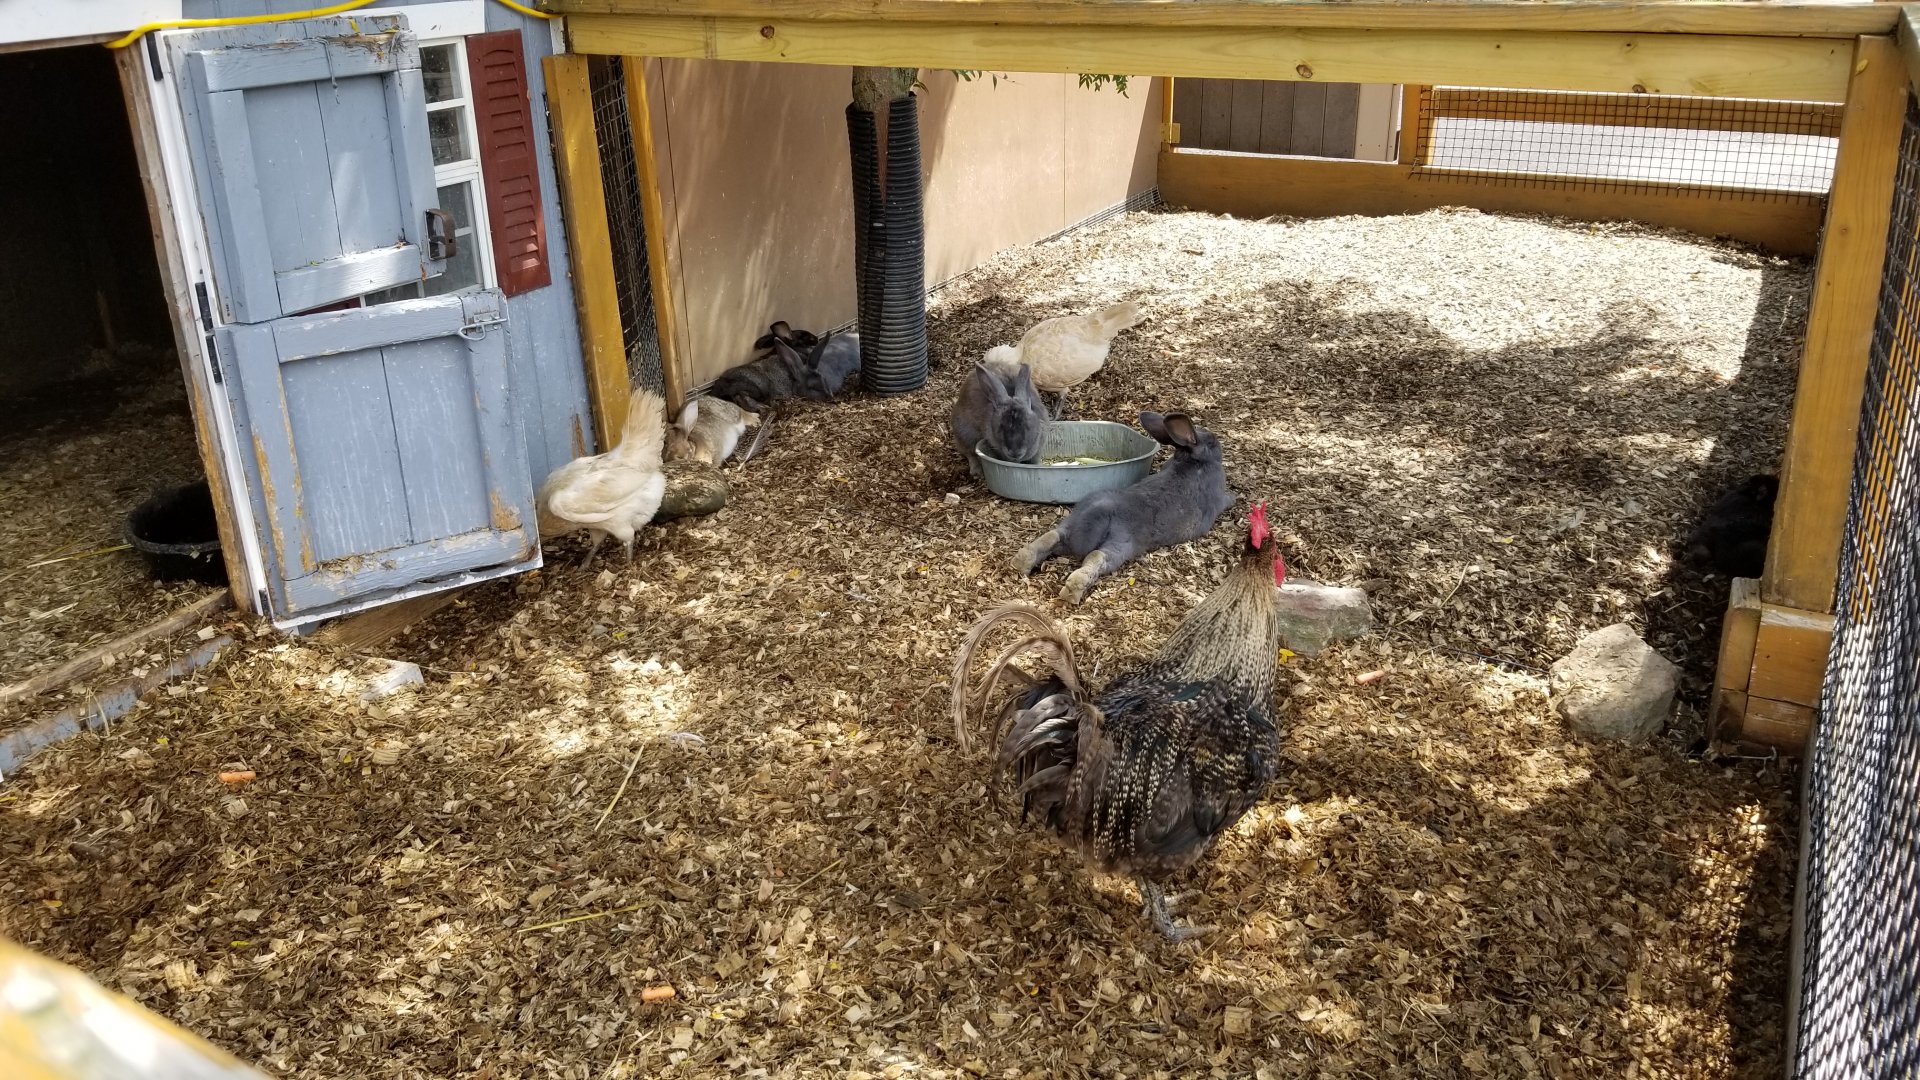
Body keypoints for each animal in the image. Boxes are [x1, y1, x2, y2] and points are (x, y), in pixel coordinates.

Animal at [1012, 410, 1235, 605]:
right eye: (1211, 440)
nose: (1216, 440)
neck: (1193, 461)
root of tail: (1100, 511)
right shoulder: (1218, 500)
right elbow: (1227, 500)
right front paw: (1236, 497)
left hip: (1071, 523)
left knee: (1053, 536)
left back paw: (1020, 563)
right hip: (1122, 544)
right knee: (1096, 556)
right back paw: (1072, 591)